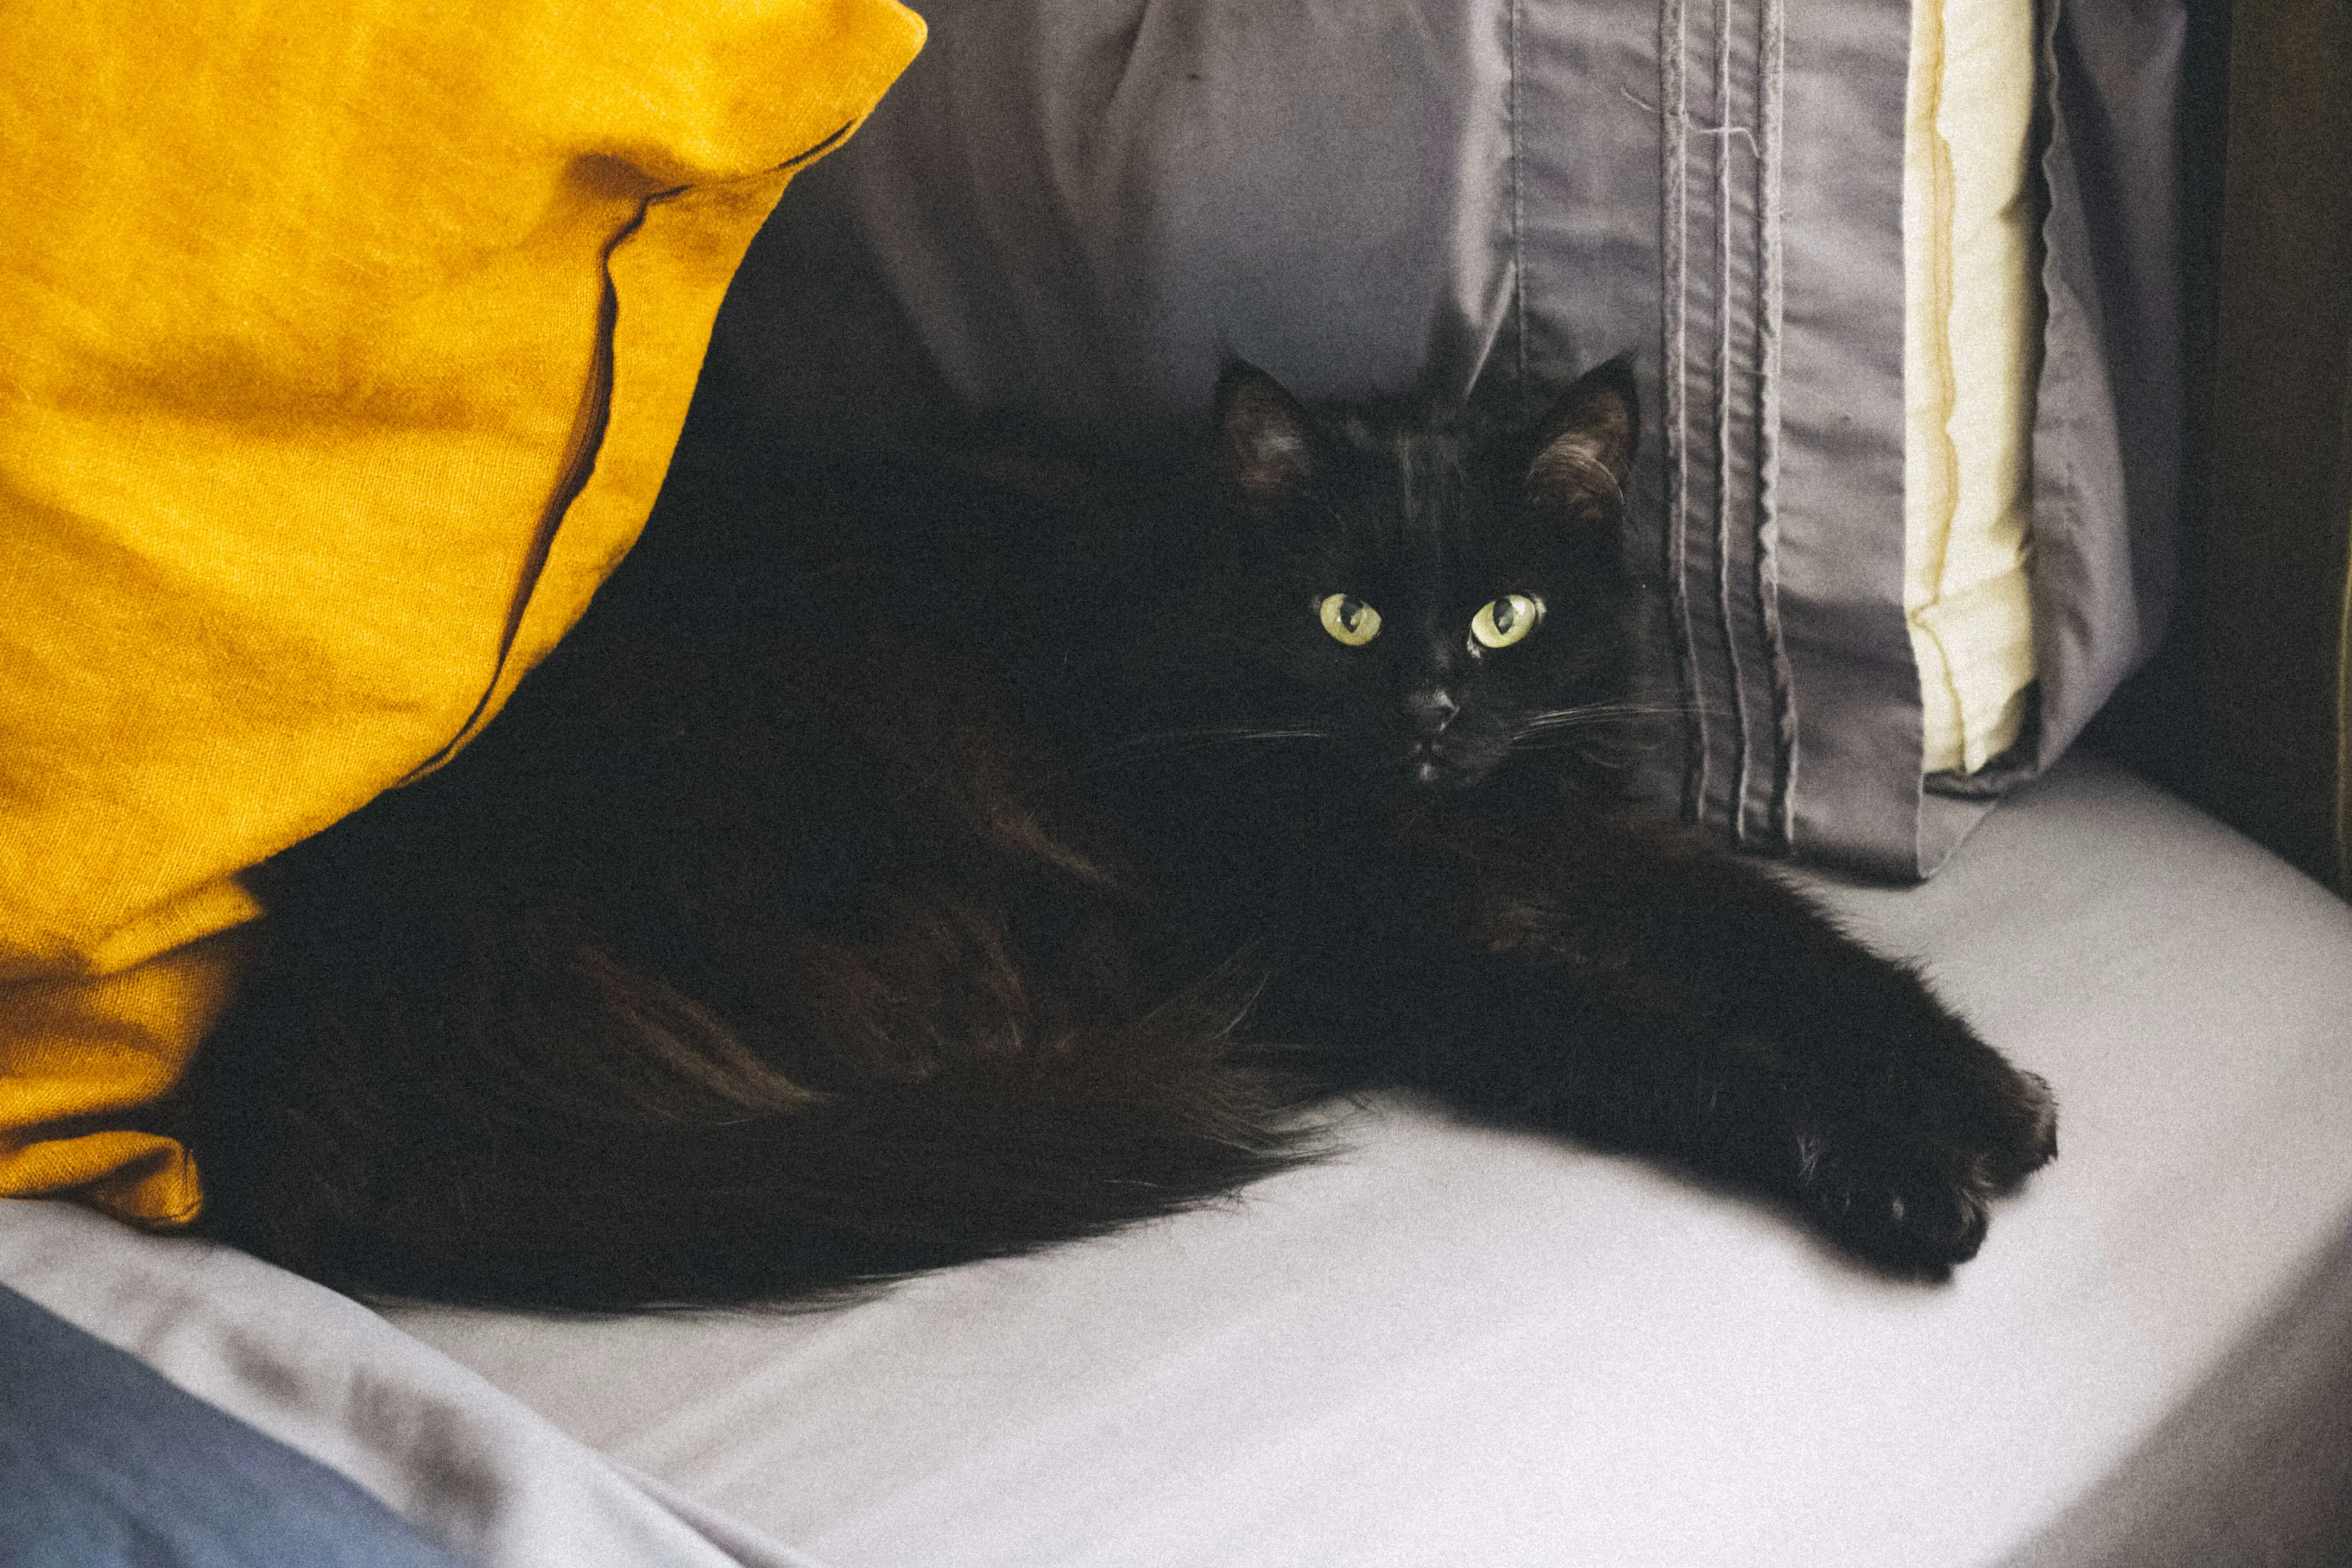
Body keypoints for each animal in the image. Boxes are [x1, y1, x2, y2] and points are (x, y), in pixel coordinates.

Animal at [188, 355, 2060, 1316]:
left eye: (1507, 617)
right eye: (1346, 619)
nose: (1430, 712)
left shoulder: (1564, 834)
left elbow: (1792, 948)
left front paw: (1979, 1093)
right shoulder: (1383, 941)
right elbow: (1673, 1045)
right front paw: (1901, 1172)